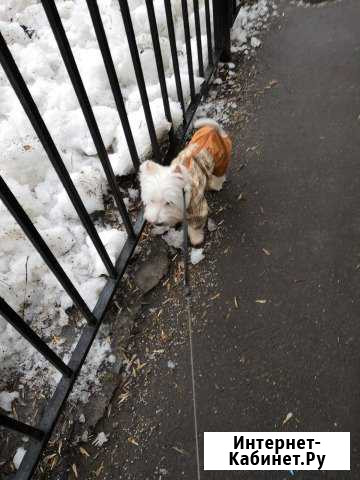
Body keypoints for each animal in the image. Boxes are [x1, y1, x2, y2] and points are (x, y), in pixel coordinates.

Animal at [139, 118, 232, 246]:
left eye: (168, 203)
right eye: (151, 200)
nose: (155, 222)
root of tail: (212, 130)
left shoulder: (197, 208)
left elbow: (195, 226)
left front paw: (196, 239)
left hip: (221, 161)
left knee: (220, 175)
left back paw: (216, 185)